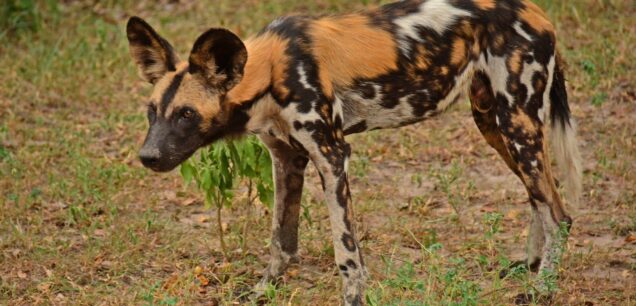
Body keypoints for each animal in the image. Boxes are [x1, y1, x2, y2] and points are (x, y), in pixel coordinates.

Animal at [125, 0, 580, 304]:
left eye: (186, 114)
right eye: (151, 112)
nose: (148, 157)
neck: (271, 71)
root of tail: (537, 13)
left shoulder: (332, 156)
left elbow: (346, 253)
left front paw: (353, 298)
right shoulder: (287, 160)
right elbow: (280, 240)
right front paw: (263, 290)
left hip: (517, 125)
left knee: (560, 213)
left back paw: (542, 289)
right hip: (494, 124)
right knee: (540, 196)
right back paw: (532, 265)